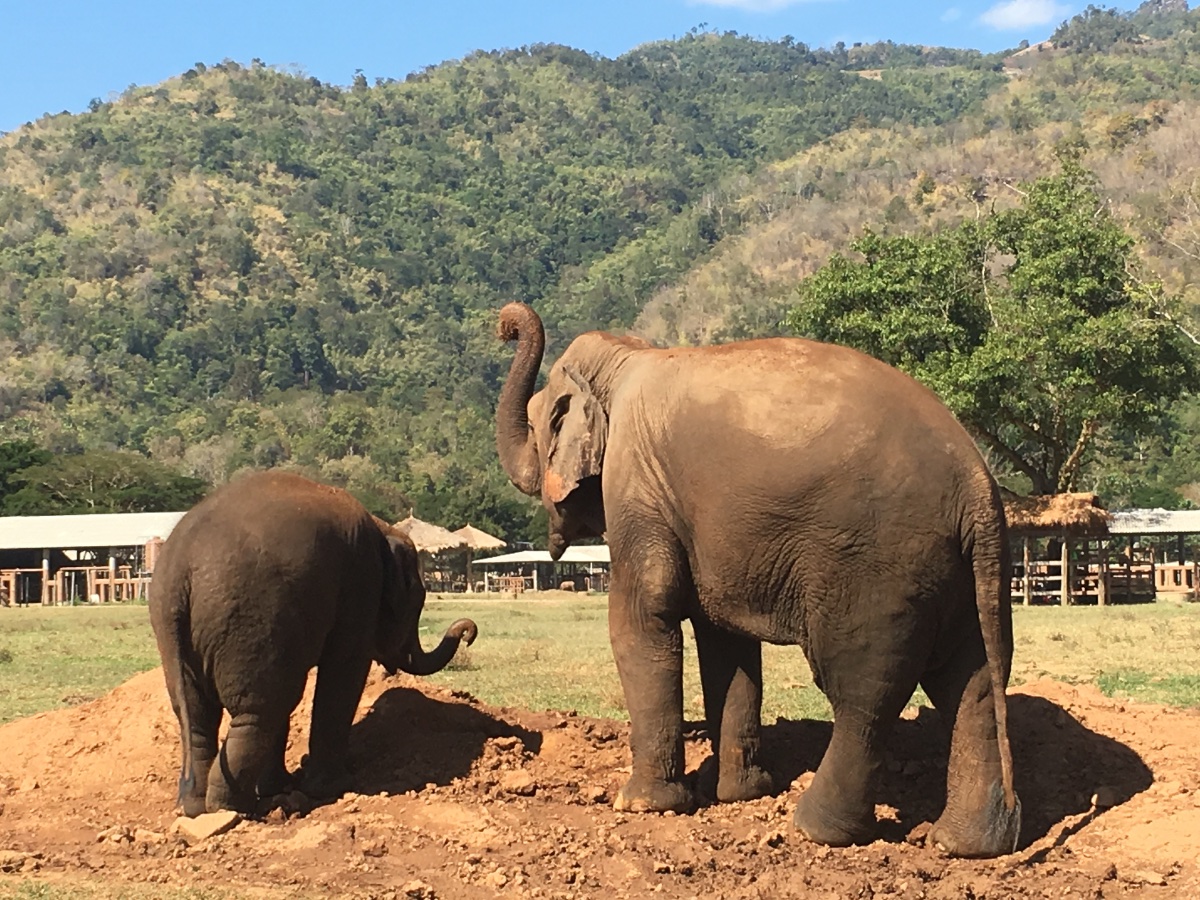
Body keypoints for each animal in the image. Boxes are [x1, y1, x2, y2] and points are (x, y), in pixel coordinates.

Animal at [149, 470, 477, 816]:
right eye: (419, 599)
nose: (468, 632)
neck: (382, 527)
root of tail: (181, 572)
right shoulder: (360, 585)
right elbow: (344, 672)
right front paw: (334, 787)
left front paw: (284, 786)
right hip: (253, 619)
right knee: (262, 709)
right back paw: (233, 809)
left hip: (179, 636)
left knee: (203, 714)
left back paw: (199, 807)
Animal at [494, 302, 1020, 858]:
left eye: (537, 425)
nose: (505, 326)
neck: (627, 355)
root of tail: (976, 484)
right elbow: (725, 639)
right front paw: (738, 795)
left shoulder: (635, 484)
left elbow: (642, 615)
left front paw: (640, 805)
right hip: (959, 573)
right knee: (971, 683)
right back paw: (963, 844)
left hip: (877, 565)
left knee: (862, 691)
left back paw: (815, 829)